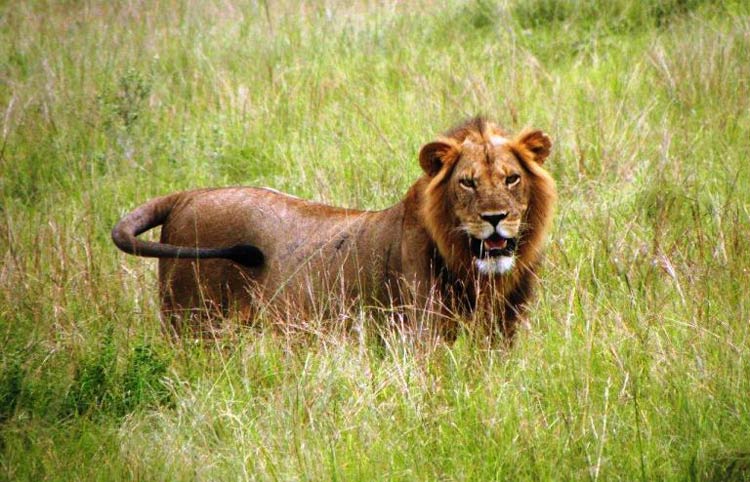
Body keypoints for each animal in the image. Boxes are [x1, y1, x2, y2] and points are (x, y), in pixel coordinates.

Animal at [113, 117, 560, 338]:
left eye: (511, 179)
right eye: (467, 182)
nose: (495, 218)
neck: (477, 274)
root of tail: (187, 195)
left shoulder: (502, 335)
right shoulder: (419, 337)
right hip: (191, 325)